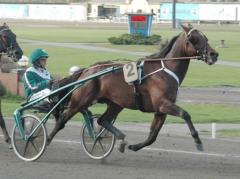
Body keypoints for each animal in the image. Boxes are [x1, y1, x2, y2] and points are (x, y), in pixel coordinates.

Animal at [47, 24, 219, 152]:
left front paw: (135, 146)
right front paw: (198, 141)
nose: (214, 54)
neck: (164, 70)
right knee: (62, 119)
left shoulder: (160, 110)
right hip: (81, 100)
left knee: (103, 120)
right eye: (194, 38)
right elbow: (185, 114)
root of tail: (87, 70)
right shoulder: (163, 104)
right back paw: (46, 140)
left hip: (116, 103)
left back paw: (121, 139)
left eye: (206, 37)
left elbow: (153, 135)